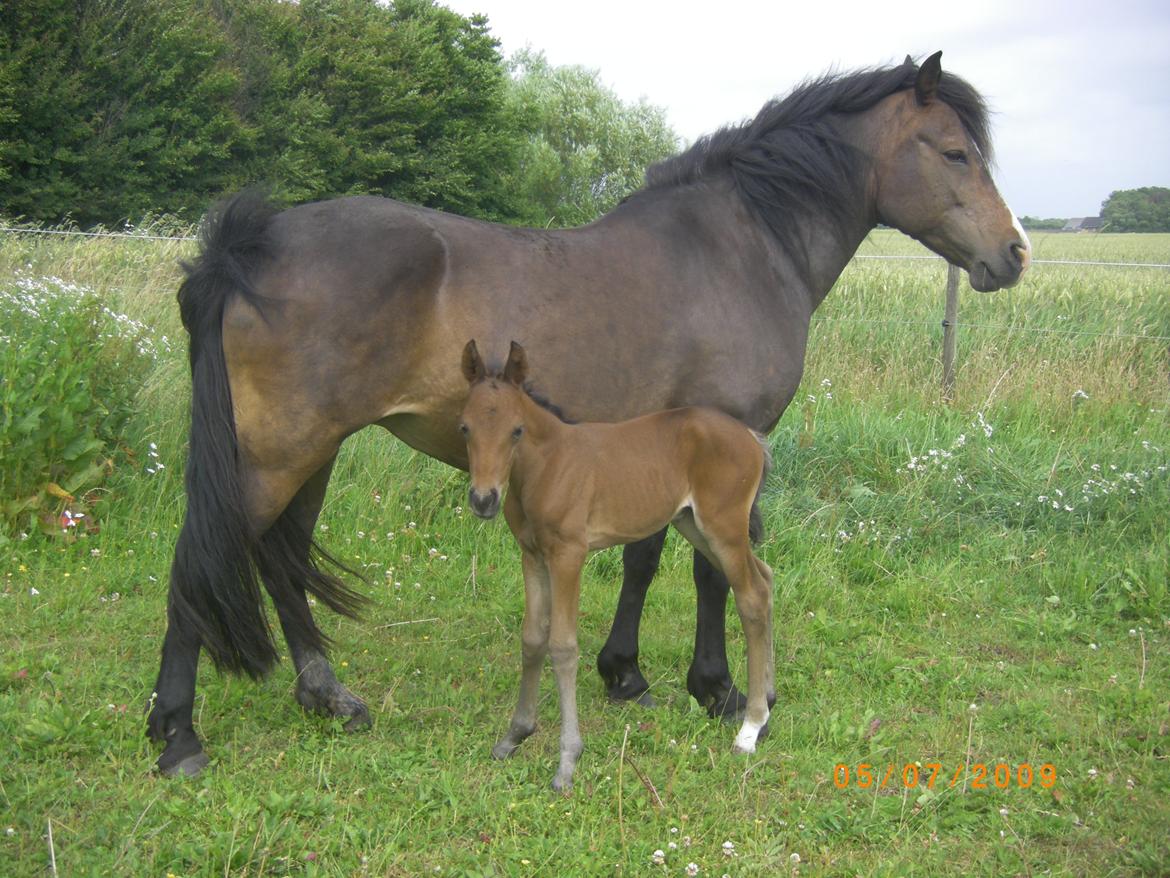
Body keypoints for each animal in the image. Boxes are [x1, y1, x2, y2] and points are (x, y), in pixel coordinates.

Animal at [458, 339, 776, 796]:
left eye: (516, 430)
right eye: (464, 427)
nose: (484, 500)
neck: (549, 464)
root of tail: (750, 436)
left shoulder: (568, 554)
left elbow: (562, 646)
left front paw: (567, 762)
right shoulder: (531, 555)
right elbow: (532, 639)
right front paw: (513, 737)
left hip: (724, 528)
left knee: (750, 597)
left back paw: (748, 731)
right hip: (694, 524)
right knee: (764, 580)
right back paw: (765, 704)